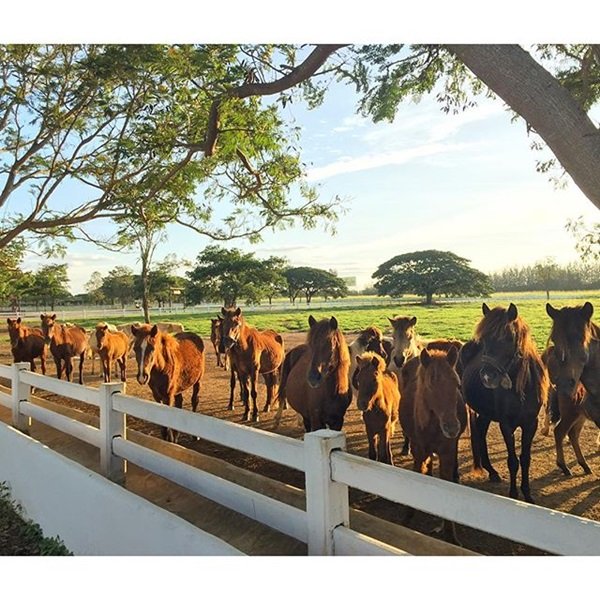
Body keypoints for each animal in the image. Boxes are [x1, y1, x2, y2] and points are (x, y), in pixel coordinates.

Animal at [400, 342, 466, 544]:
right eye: (430, 384)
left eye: (457, 384)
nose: (452, 427)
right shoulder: (418, 450)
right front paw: (408, 516)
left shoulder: (447, 453)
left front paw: (450, 534)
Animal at [460, 302, 548, 504]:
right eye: (484, 340)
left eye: (508, 338)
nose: (487, 376)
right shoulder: (506, 425)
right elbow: (513, 461)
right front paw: (514, 494)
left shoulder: (531, 424)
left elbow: (525, 459)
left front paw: (527, 494)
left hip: (485, 412)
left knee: (481, 430)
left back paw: (491, 471)